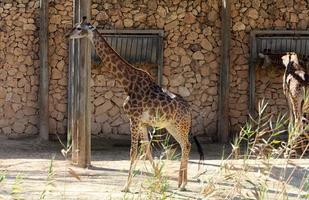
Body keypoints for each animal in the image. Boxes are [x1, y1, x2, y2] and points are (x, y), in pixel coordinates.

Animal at [67, 17, 202, 192]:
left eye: (78, 28)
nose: (68, 35)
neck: (127, 83)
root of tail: (190, 110)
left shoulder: (134, 118)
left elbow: (133, 151)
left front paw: (126, 186)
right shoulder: (143, 122)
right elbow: (147, 150)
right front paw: (159, 180)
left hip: (180, 125)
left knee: (186, 145)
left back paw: (183, 184)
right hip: (171, 126)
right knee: (185, 145)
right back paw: (181, 183)